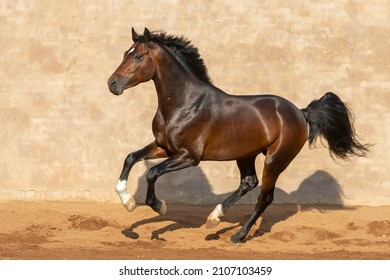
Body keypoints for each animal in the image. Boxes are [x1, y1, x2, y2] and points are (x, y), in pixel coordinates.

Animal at [107, 27, 368, 243]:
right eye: (125, 53)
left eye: (138, 56)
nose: (112, 84)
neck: (185, 103)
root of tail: (301, 113)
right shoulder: (164, 146)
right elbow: (131, 157)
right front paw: (128, 202)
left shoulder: (189, 156)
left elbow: (152, 173)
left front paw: (158, 206)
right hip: (246, 155)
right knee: (248, 183)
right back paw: (214, 218)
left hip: (275, 160)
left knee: (264, 197)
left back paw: (239, 235)